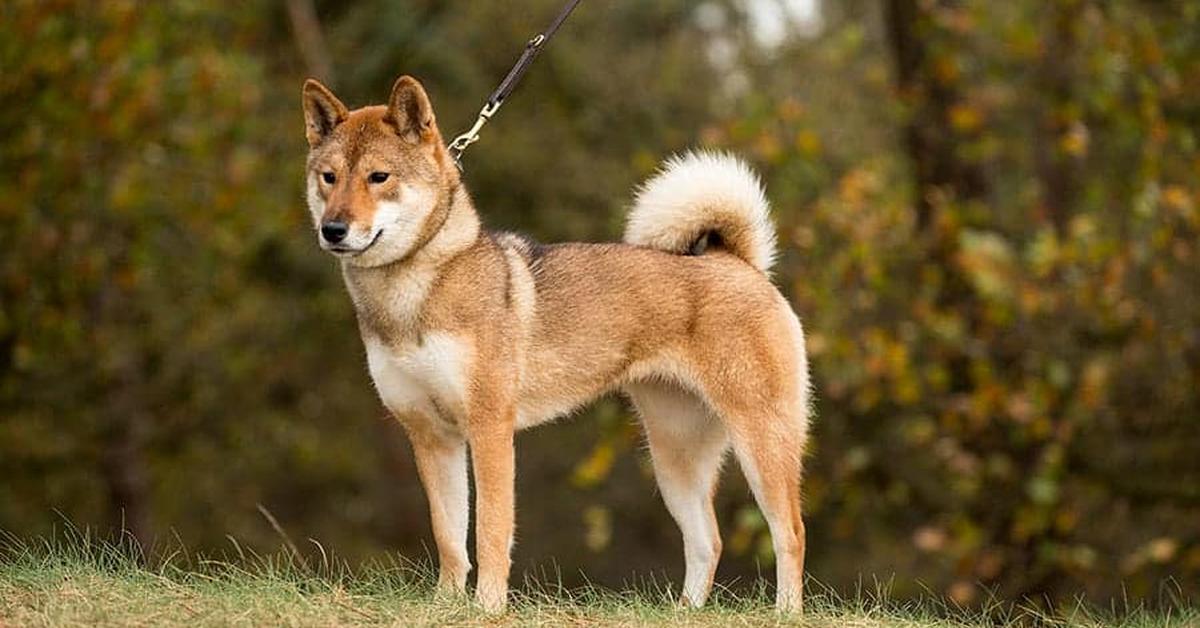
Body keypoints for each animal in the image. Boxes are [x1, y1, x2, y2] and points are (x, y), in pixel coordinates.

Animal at [297, 76, 816, 612]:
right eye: (329, 177)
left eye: (379, 177)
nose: (332, 229)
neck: (414, 294)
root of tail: (740, 263)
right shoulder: (430, 435)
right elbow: (449, 536)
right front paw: (445, 606)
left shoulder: (489, 429)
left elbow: (490, 531)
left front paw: (487, 608)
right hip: (675, 454)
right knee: (706, 540)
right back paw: (685, 612)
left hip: (762, 441)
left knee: (790, 533)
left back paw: (785, 613)